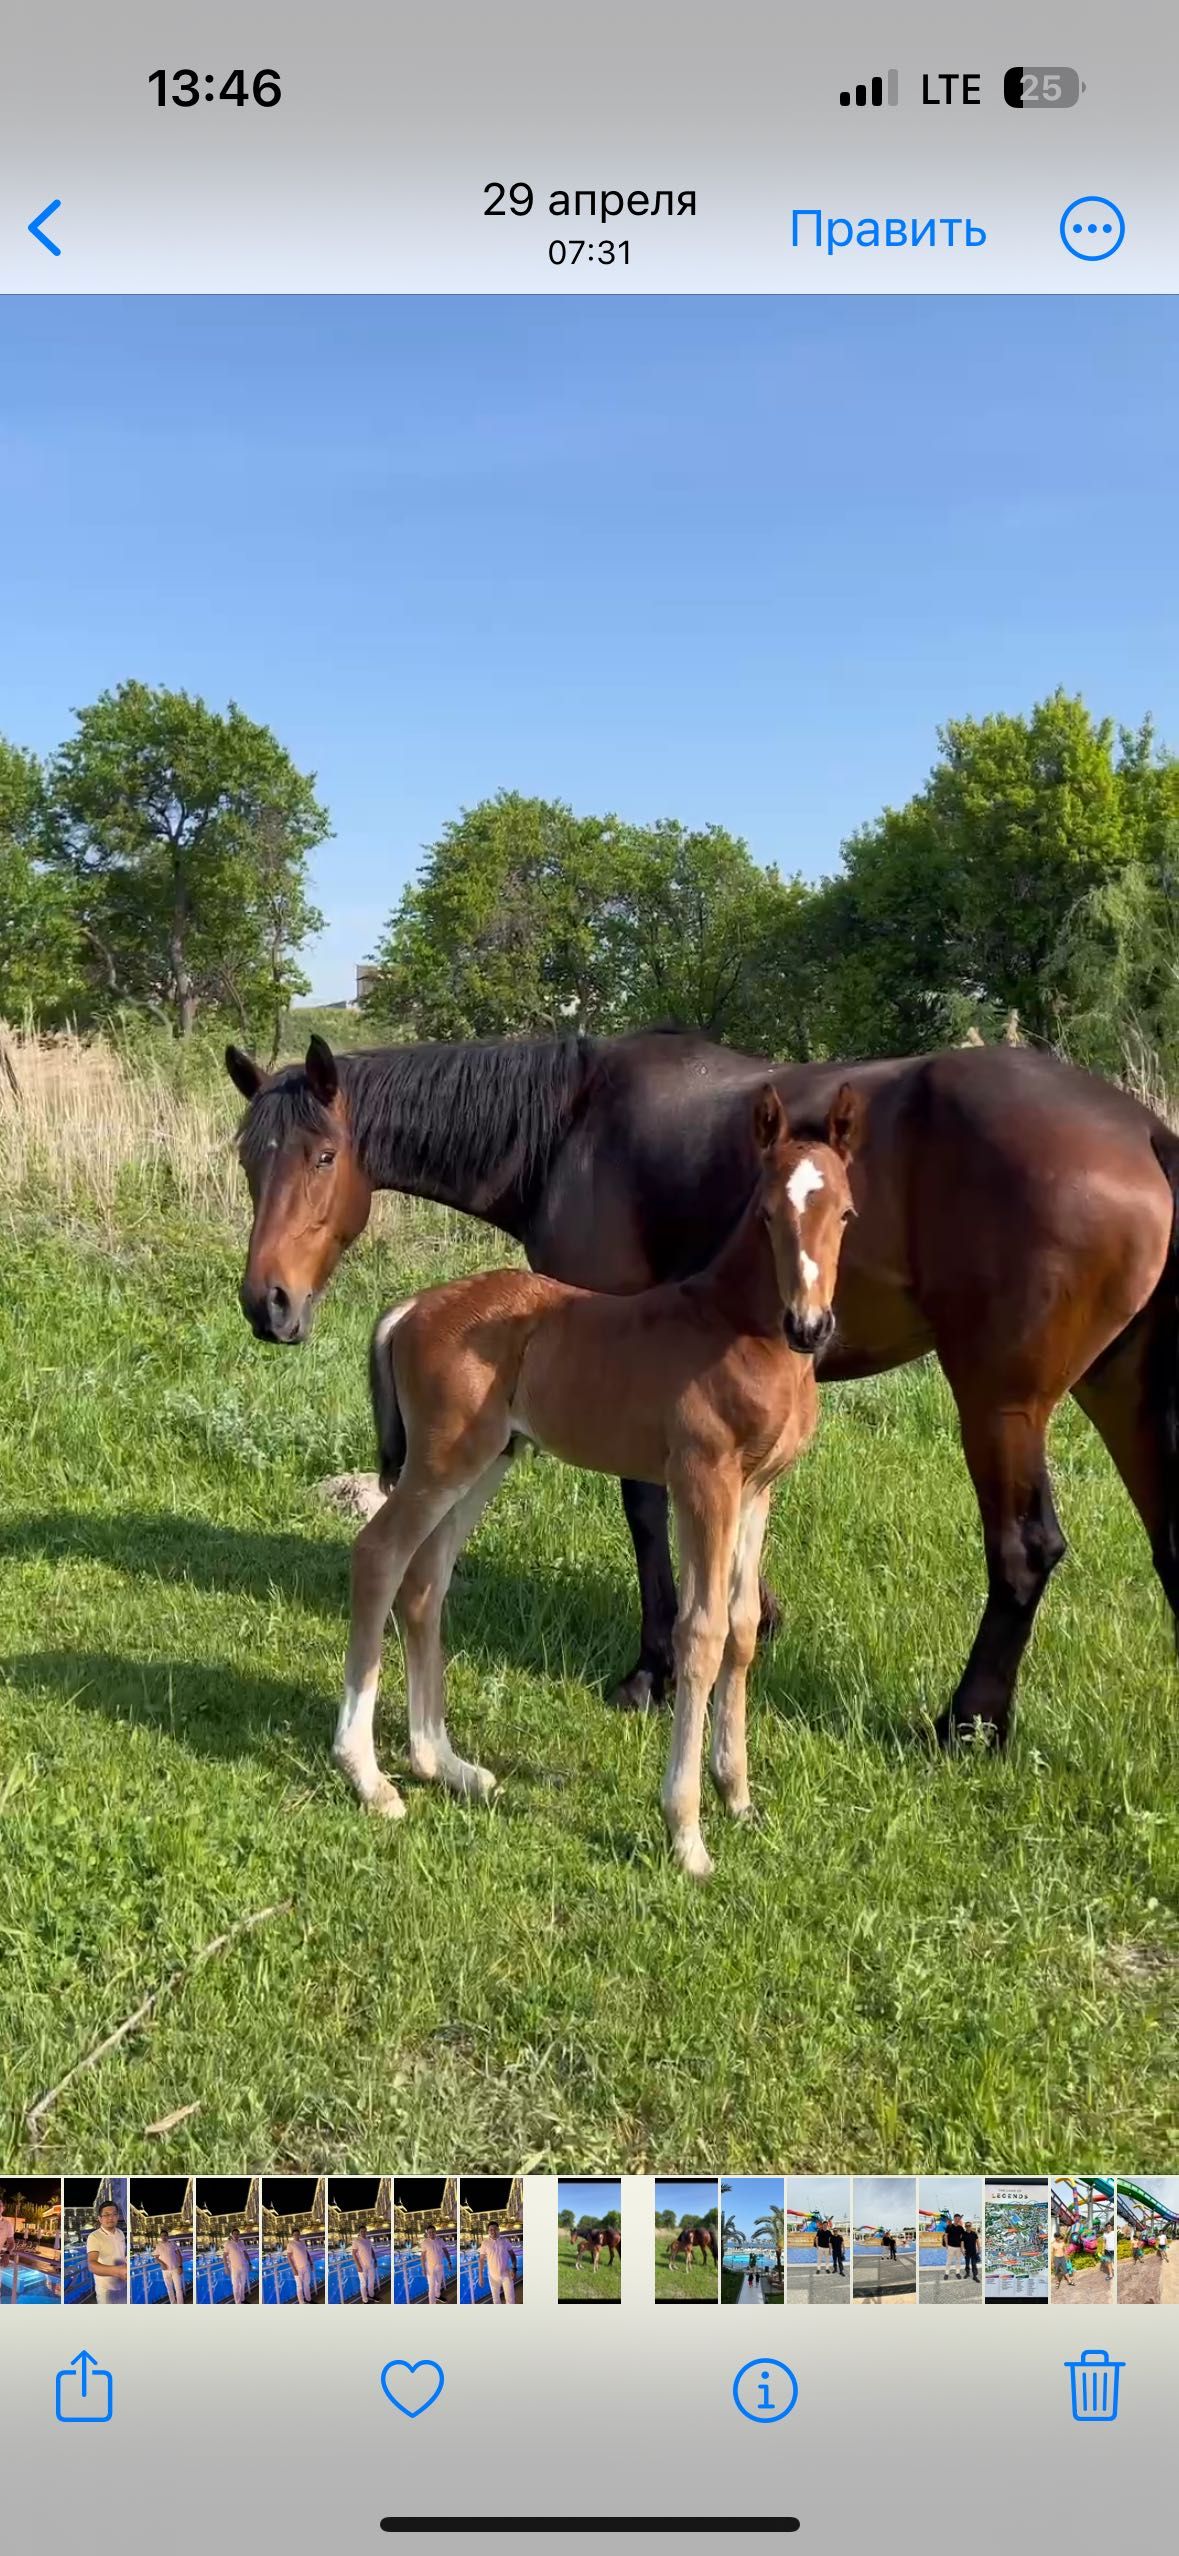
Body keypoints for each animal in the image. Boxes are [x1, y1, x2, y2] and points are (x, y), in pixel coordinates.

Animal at [335, 1078, 859, 1881]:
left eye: (846, 1212)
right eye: (768, 1212)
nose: (810, 1325)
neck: (738, 1330)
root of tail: (411, 1307)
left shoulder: (758, 1490)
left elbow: (741, 1629)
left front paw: (737, 1796)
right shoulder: (703, 1481)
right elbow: (701, 1633)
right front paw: (686, 1832)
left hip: (485, 1464)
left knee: (424, 1582)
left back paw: (444, 1764)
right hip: (441, 1463)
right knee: (379, 1556)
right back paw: (369, 1778)